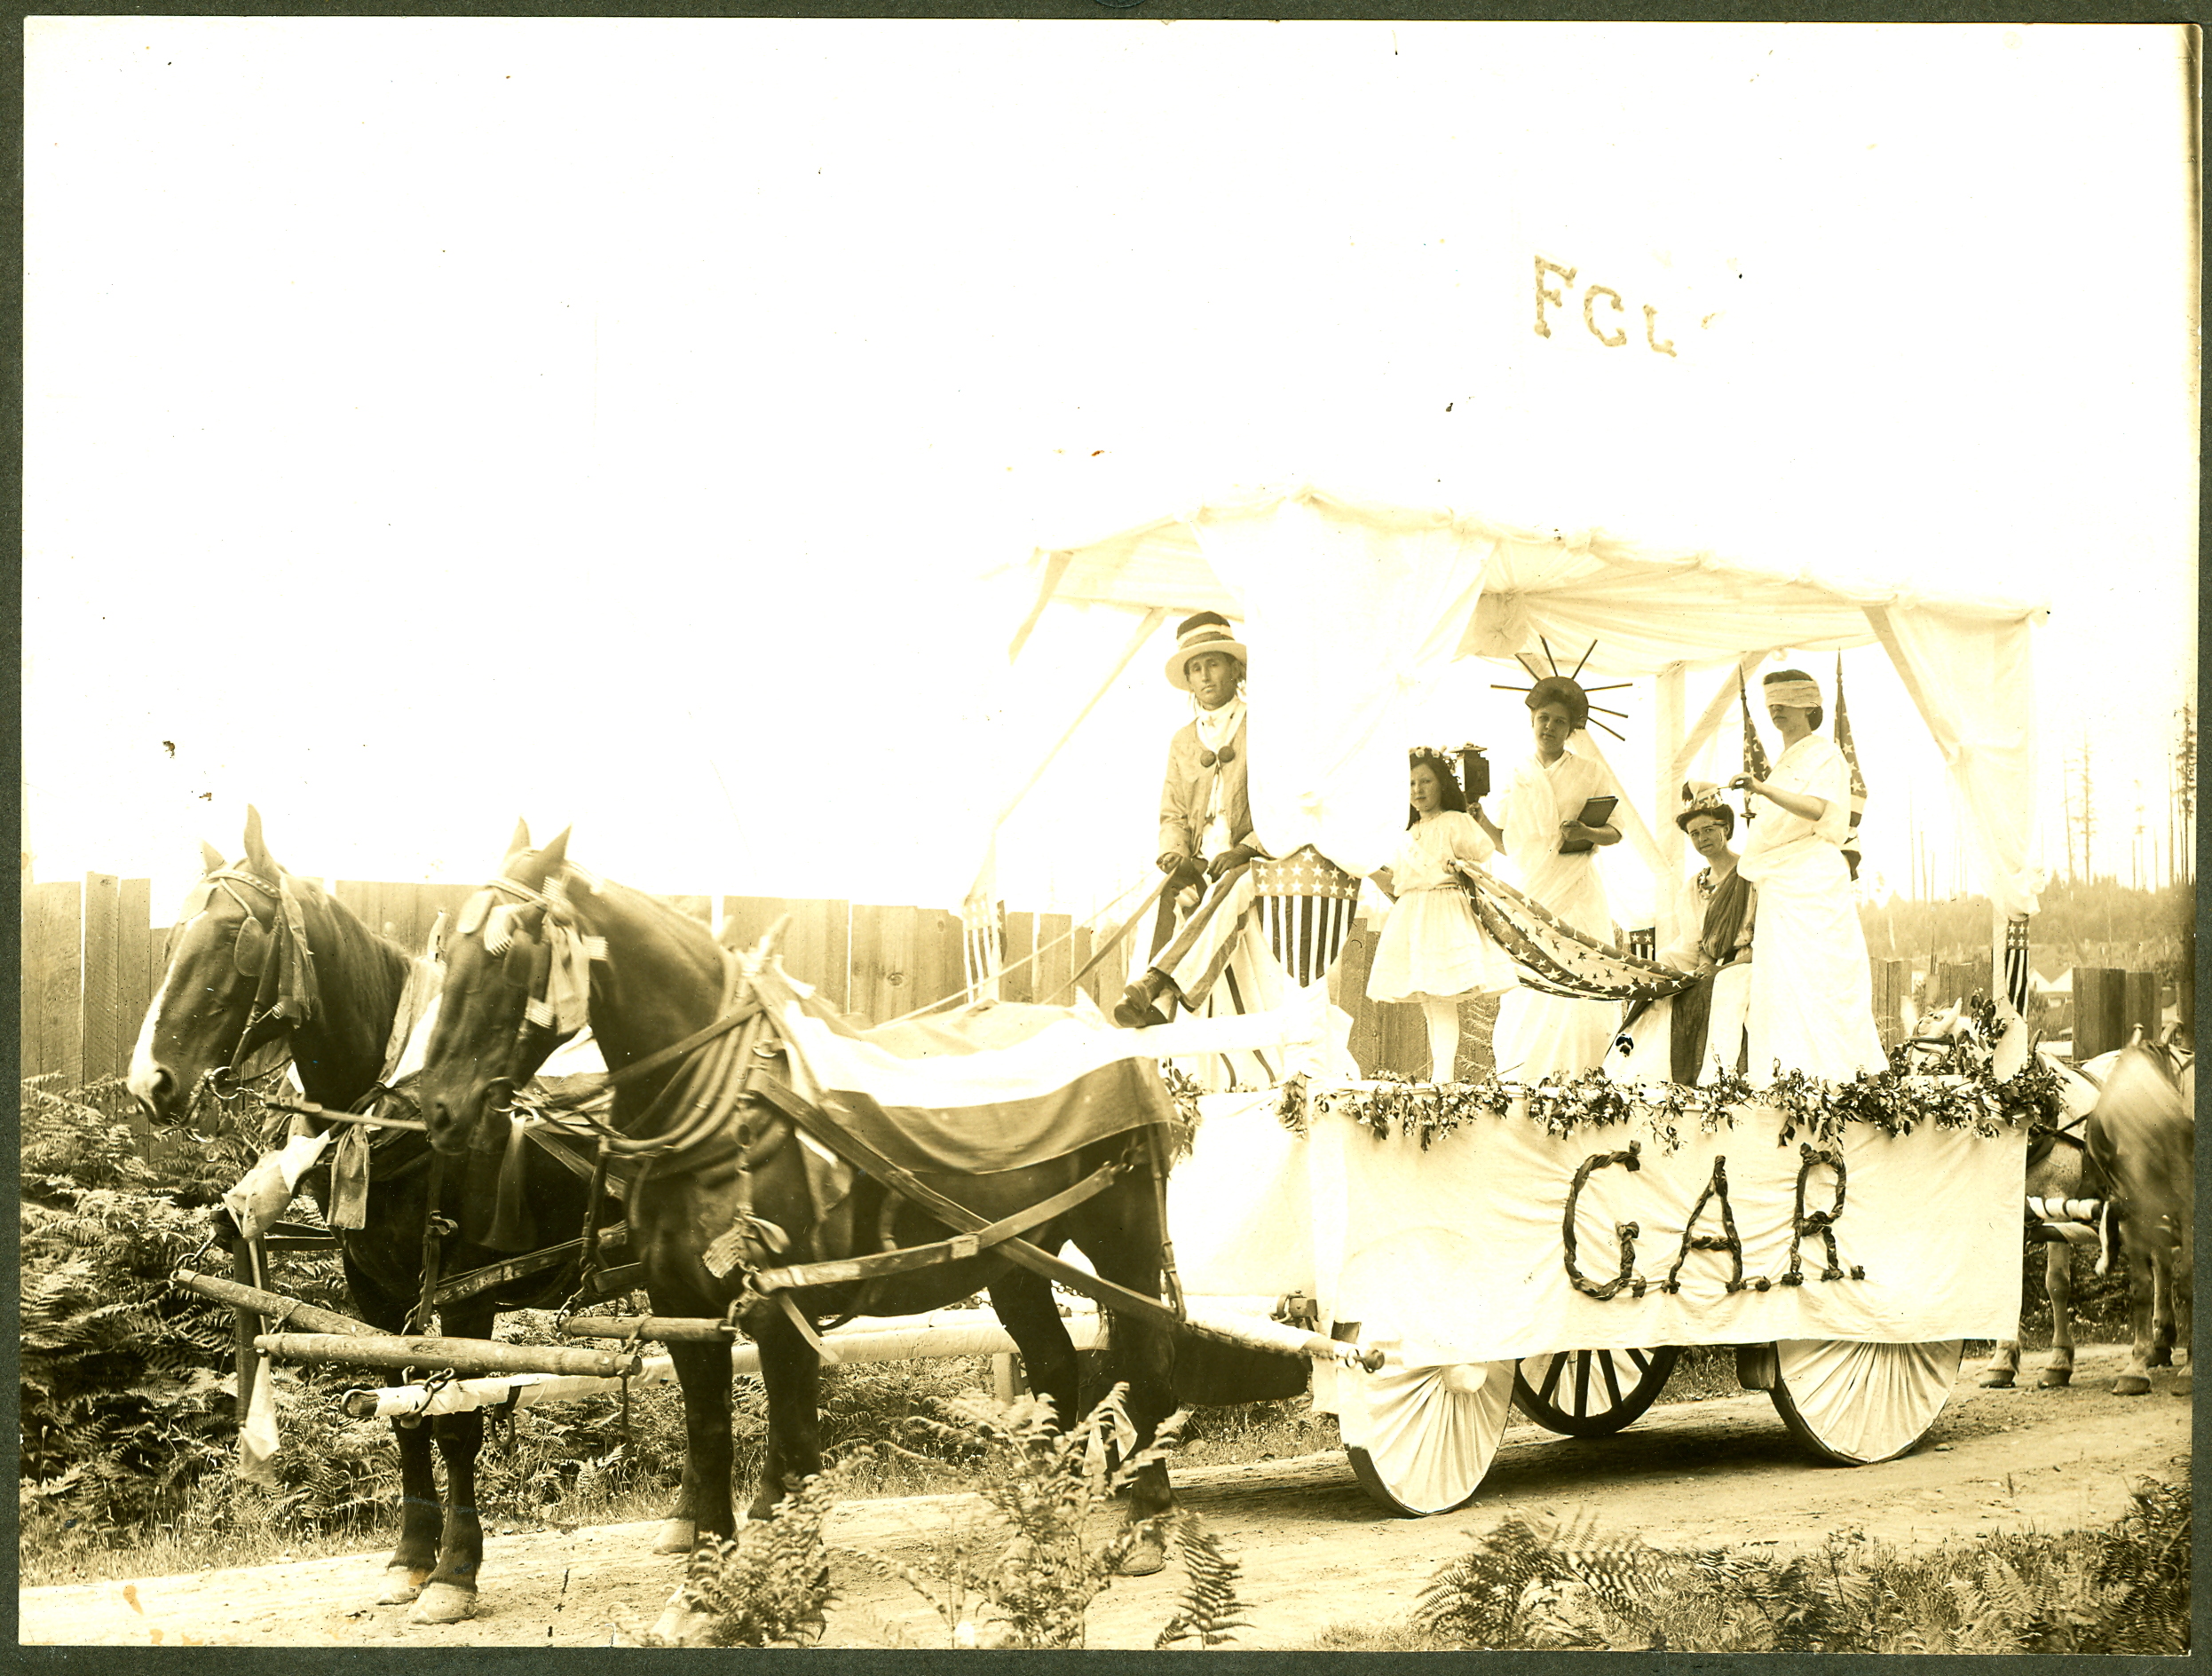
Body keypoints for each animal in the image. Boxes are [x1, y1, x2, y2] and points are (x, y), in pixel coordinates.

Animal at [128, 813, 619, 1627]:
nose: (149, 1085)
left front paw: (454, 1574)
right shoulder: (375, 1290)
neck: (399, 1110)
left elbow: (456, 1420)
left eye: (235, 936)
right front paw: (408, 1561)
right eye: (169, 941)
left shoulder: (466, 1292)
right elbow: (401, 1416)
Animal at [407, 835, 1185, 1636]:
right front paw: (701, 1593)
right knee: (1058, 1368)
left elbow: (795, 1444)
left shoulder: (783, 1310)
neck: (729, 1111)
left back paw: (1147, 1522)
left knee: (1145, 1356)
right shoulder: (684, 1308)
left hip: (1121, 1238)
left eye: (507, 953)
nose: (439, 1110)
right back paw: (1038, 1531)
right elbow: (712, 1439)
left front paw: (800, 1583)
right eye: (447, 950)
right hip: (1014, 1257)